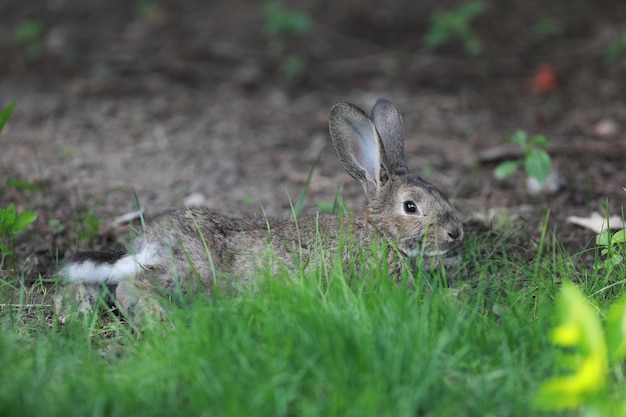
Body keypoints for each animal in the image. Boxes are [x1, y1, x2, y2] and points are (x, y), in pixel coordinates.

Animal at [56, 97, 460, 322]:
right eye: (410, 207)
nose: (457, 233)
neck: (380, 234)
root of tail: (150, 243)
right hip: (190, 274)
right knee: (132, 288)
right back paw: (158, 321)